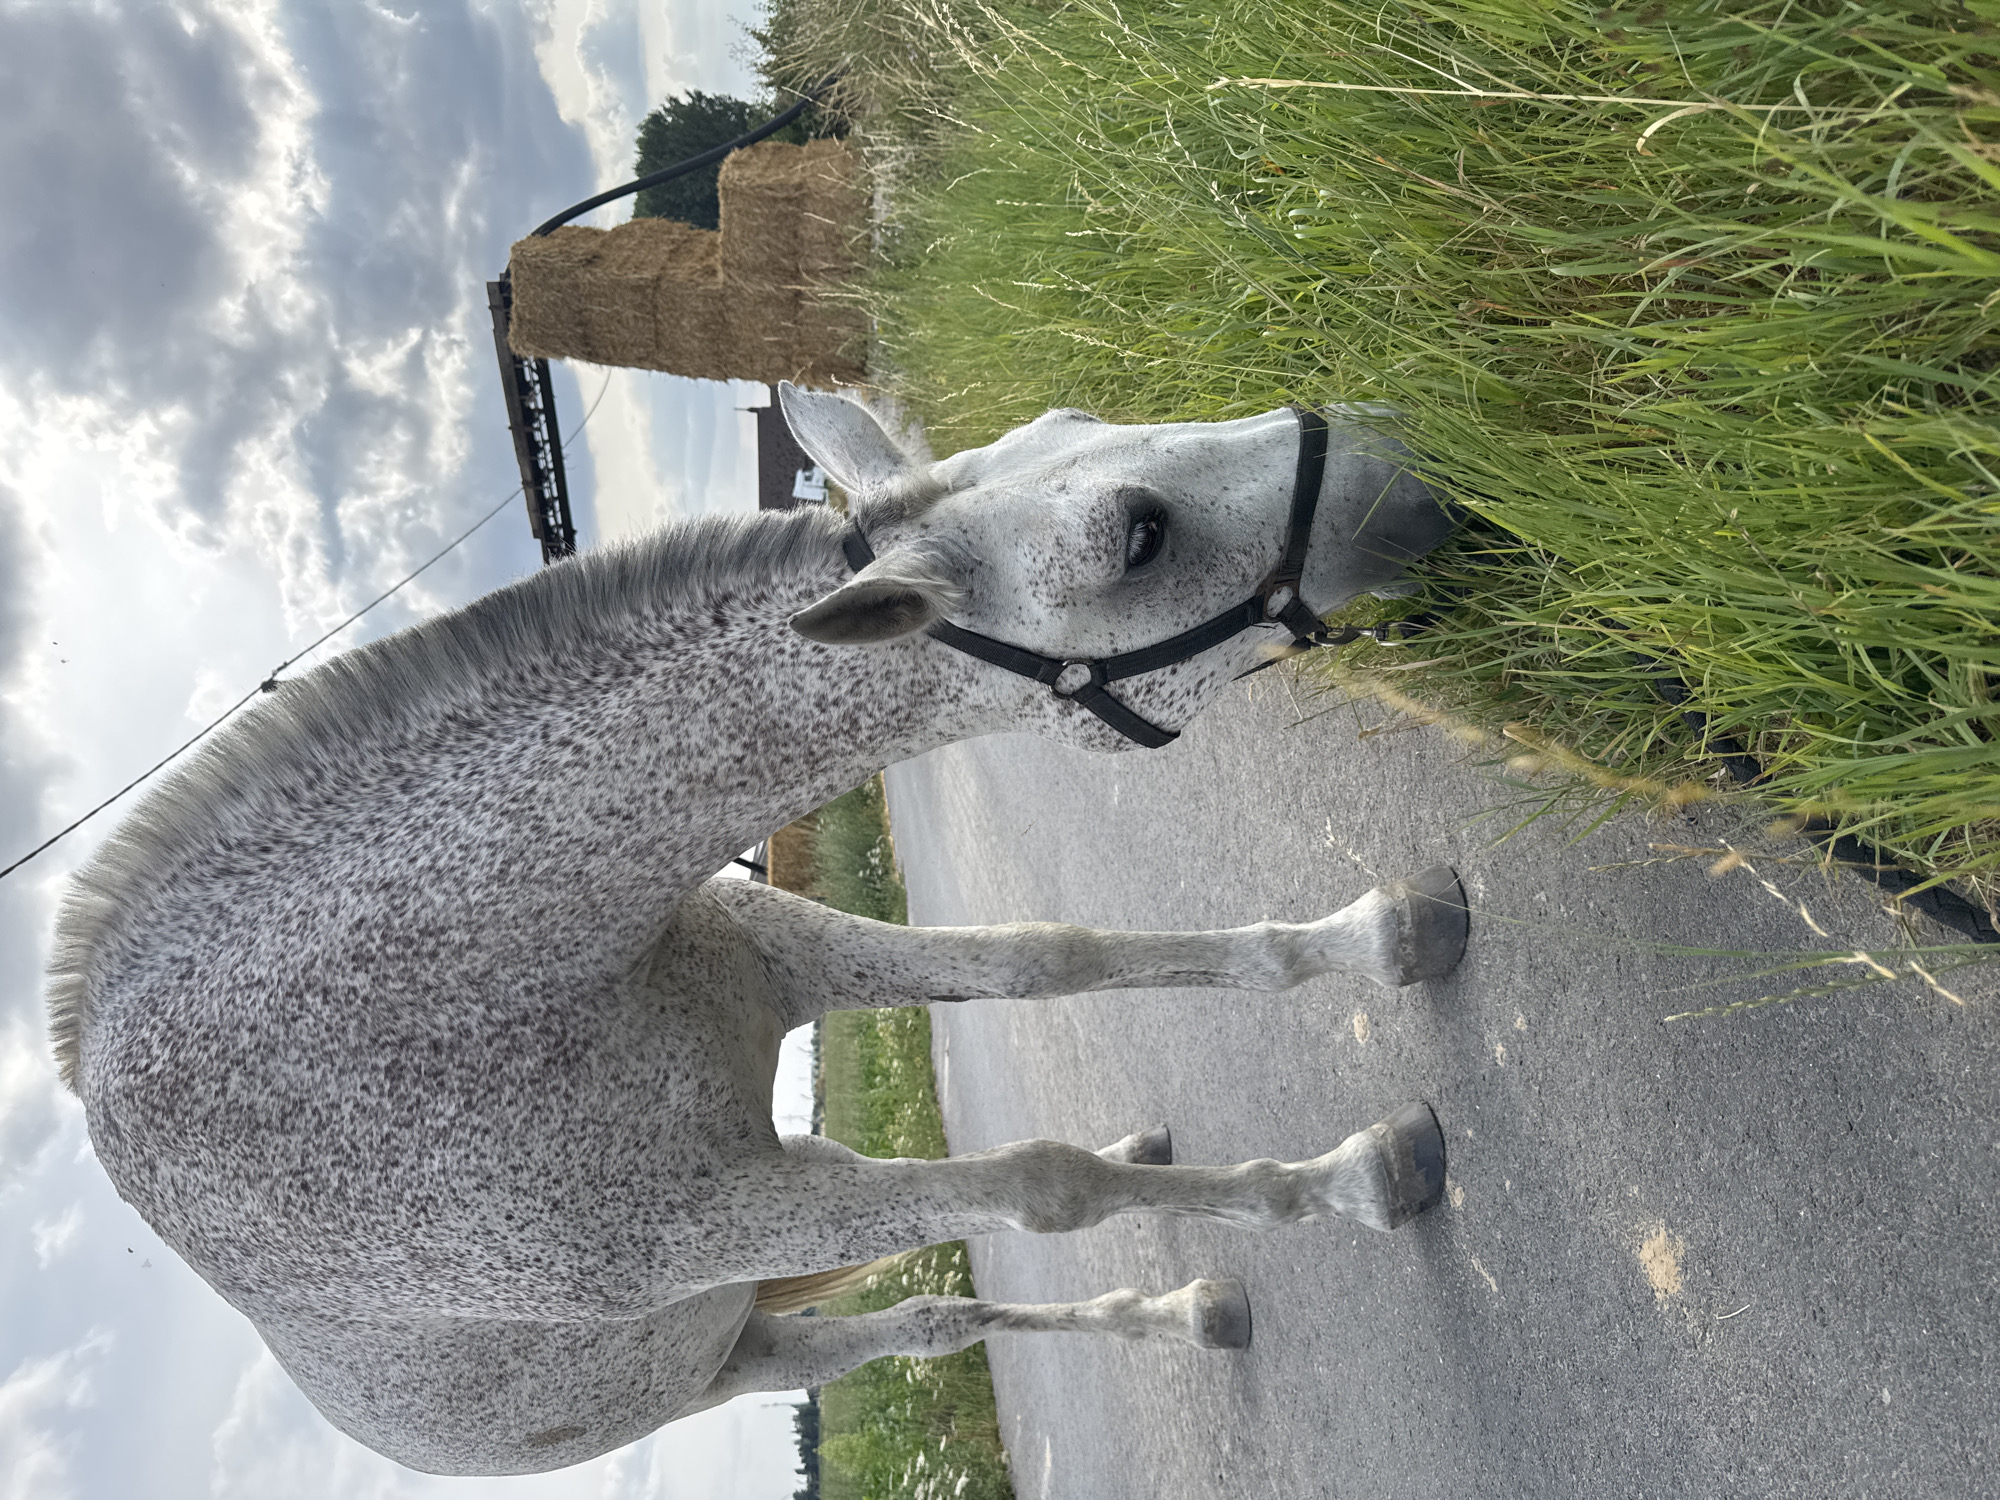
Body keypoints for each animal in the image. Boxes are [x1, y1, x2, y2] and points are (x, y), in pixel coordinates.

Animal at [47, 384, 1466, 1476]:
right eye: (1135, 537)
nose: (1422, 471)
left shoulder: (794, 962)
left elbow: (1046, 957)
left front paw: (1389, 930)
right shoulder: (717, 1223)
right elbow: (1044, 1183)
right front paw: (1350, 1179)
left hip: (781, 1251)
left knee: (940, 1288)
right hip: (742, 1353)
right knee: (938, 1310)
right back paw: (1187, 1303)